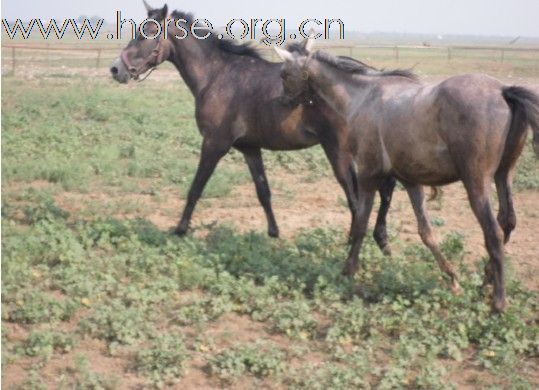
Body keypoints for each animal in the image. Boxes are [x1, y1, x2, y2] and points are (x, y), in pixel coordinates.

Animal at [110, 2, 396, 253]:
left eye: (145, 34)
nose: (116, 69)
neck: (217, 76)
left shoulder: (214, 144)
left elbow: (196, 188)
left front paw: (180, 229)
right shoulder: (250, 148)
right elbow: (263, 191)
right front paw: (273, 233)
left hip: (339, 152)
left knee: (358, 198)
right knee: (382, 191)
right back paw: (377, 240)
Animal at [276, 42, 539, 312]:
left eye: (284, 74)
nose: (282, 102)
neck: (363, 97)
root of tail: (503, 91)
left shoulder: (368, 176)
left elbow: (360, 223)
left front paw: (348, 271)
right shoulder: (411, 182)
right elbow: (426, 232)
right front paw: (452, 278)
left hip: (476, 182)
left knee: (493, 233)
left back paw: (498, 302)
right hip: (503, 175)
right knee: (507, 221)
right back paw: (486, 280)